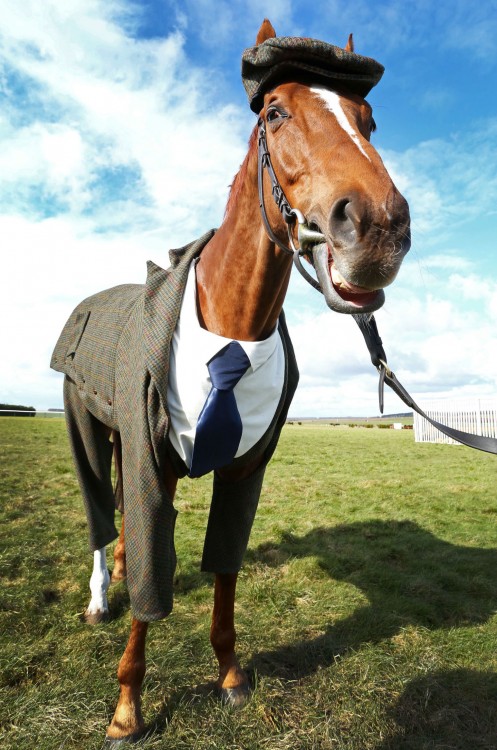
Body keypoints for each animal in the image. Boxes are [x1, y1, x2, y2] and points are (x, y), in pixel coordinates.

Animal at [52, 20, 410, 748]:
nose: (378, 229)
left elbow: (222, 569)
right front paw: (127, 707)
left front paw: (229, 674)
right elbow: (152, 584)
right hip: (88, 426)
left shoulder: (245, 471)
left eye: (367, 118)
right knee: (101, 509)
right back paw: (101, 595)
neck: (230, 326)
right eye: (275, 113)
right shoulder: (152, 465)